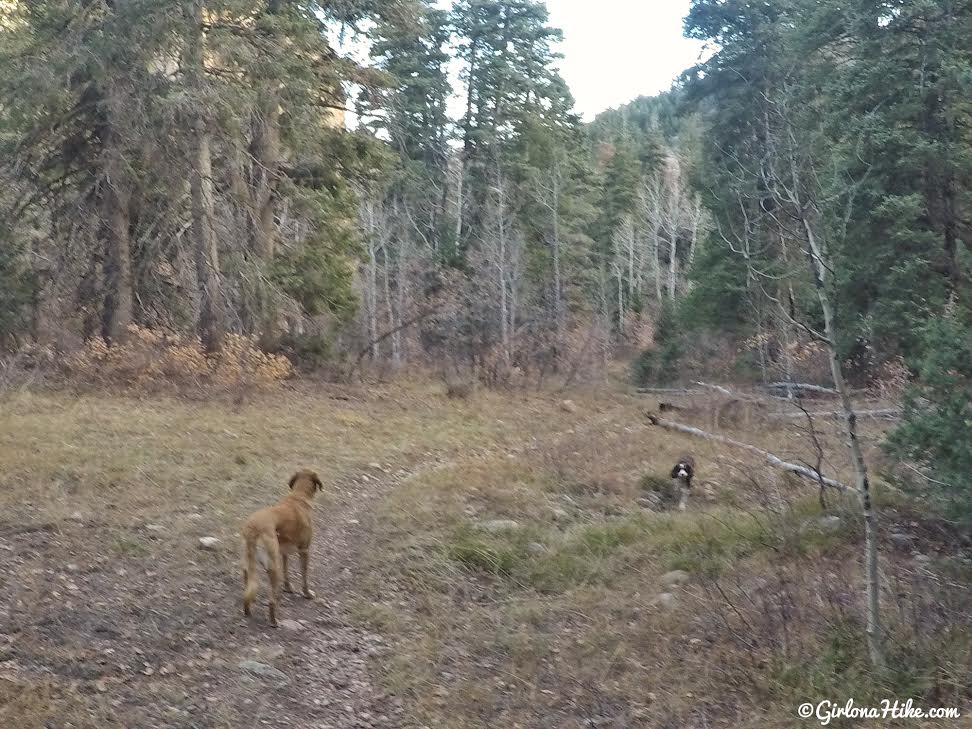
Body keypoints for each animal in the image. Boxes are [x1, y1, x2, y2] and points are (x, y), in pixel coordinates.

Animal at [243, 472, 322, 624]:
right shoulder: (304, 550)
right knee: (271, 601)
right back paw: (274, 621)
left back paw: (247, 611)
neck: (299, 496)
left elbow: (287, 572)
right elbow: (304, 576)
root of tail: (253, 527)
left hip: (249, 566)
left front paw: (288, 587)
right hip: (273, 567)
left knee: (247, 591)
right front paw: (307, 594)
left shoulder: (284, 553)